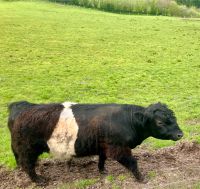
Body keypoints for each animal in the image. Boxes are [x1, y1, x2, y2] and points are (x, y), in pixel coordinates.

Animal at [7, 101, 183, 182]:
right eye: (160, 122)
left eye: (174, 118)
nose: (180, 134)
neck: (127, 121)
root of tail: (22, 106)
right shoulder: (118, 147)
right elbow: (133, 162)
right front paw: (141, 178)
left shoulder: (104, 146)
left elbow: (102, 159)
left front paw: (102, 171)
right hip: (28, 149)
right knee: (28, 165)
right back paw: (38, 180)